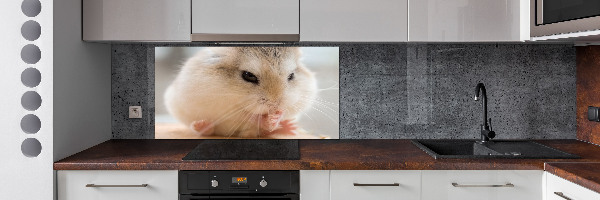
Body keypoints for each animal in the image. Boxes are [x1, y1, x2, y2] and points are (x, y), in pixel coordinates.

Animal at [162, 47, 316, 138]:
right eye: (248, 75)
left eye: (291, 76)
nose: (275, 105)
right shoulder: (222, 105)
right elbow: (245, 114)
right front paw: (266, 118)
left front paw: (276, 118)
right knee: (207, 130)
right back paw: (202, 125)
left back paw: (289, 127)